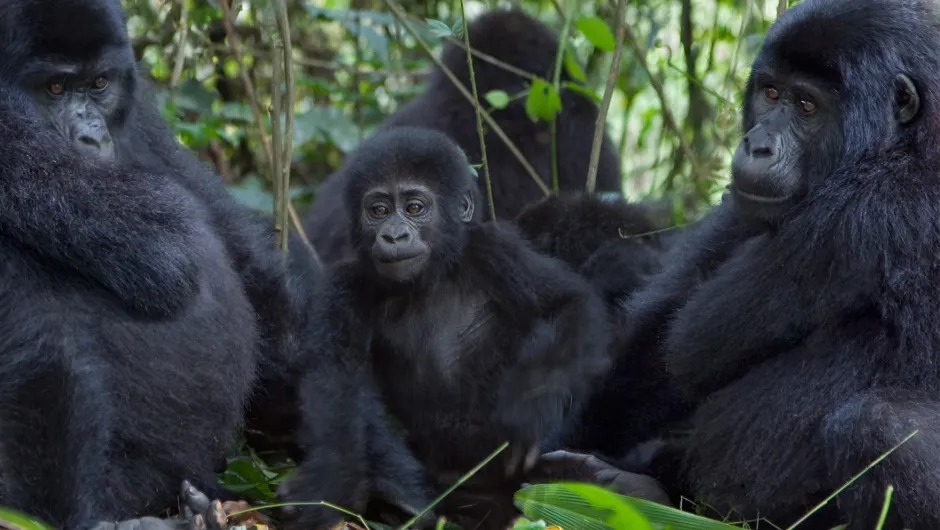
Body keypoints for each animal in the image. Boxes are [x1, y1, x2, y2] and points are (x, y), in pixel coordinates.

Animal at [282, 126, 612, 524]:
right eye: (378, 210)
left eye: (414, 208)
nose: (394, 235)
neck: (430, 279)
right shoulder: (342, 287)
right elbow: (336, 381)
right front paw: (330, 483)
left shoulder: (495, 248)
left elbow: (567, 303)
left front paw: (532, 407)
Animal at [616, 1, 940, 524]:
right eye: (770, 93)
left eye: (807, 106)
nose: (757, 145)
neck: (909, 141)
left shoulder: (867, 212)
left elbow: (689, 344)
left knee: (879, 429)